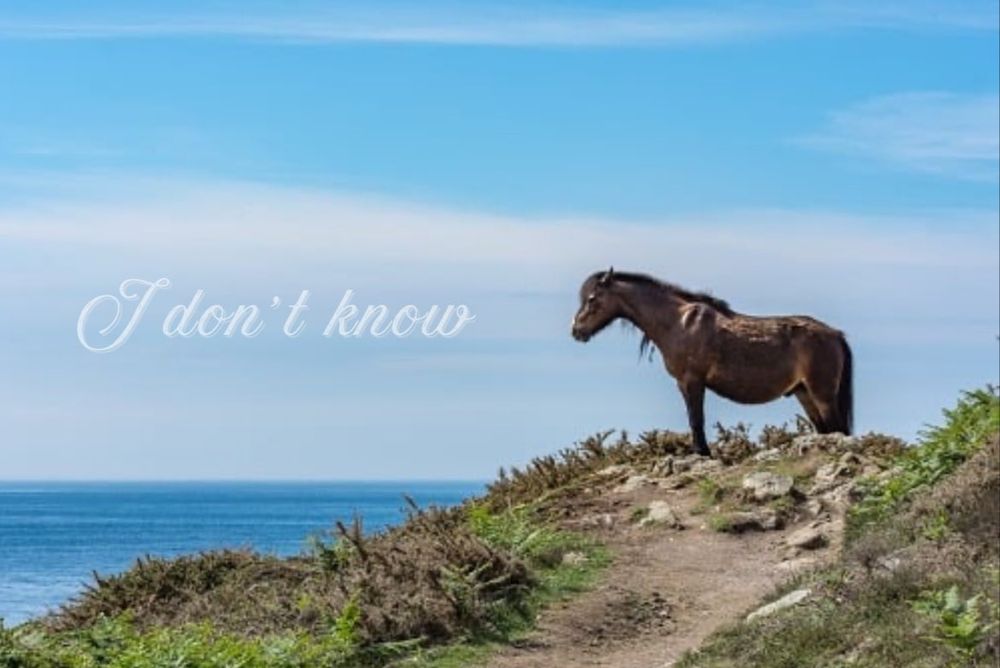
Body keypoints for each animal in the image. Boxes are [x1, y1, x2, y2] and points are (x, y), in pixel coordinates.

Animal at [570, 268, 853, 457]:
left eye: (592, 298)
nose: (576, 330)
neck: (679, 322)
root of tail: (836, 334)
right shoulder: (683, 384)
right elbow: (692, 418)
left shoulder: (692, 380)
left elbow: (697, 419)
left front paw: (703, 453)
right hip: (803, 392)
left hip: (822, 393)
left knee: (838, 428)